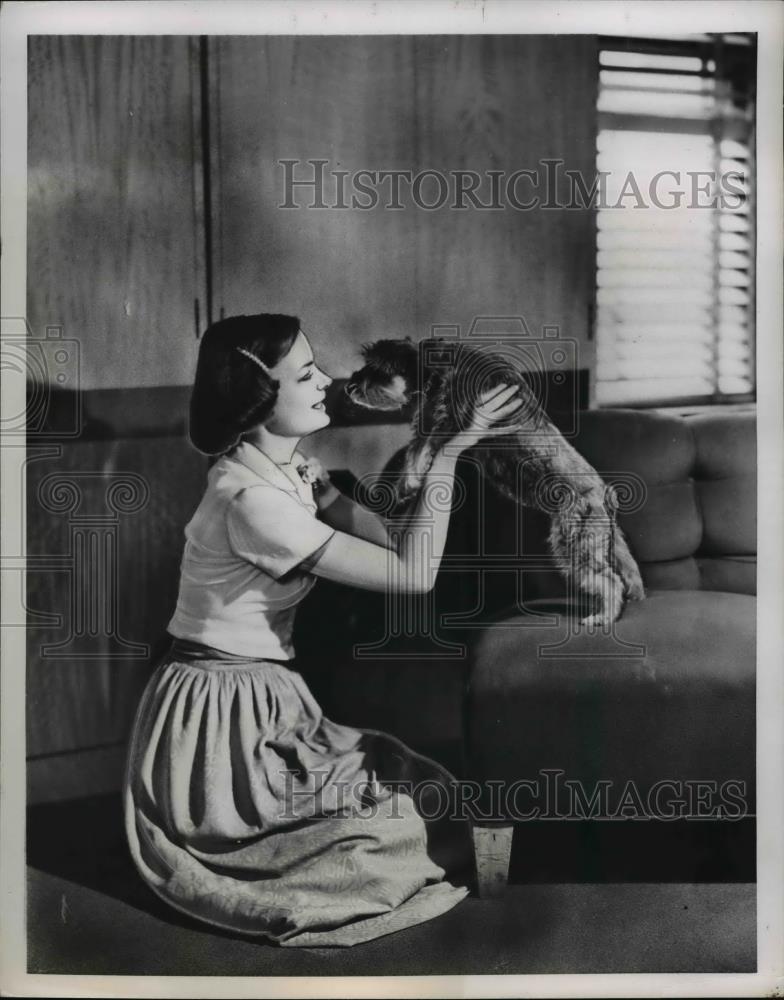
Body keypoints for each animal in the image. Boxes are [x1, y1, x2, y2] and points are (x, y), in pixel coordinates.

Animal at [346, 344, 648, 624]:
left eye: (379, 366)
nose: (349, 387)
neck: (436, 365)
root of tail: (605, 495)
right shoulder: (436, 423)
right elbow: (414, 452)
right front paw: (401, 491)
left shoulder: (446, 423)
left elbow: (418, 452)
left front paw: (404, 487)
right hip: (601, 541)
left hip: (575, 543)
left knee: (609, 581)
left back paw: (602, 617)